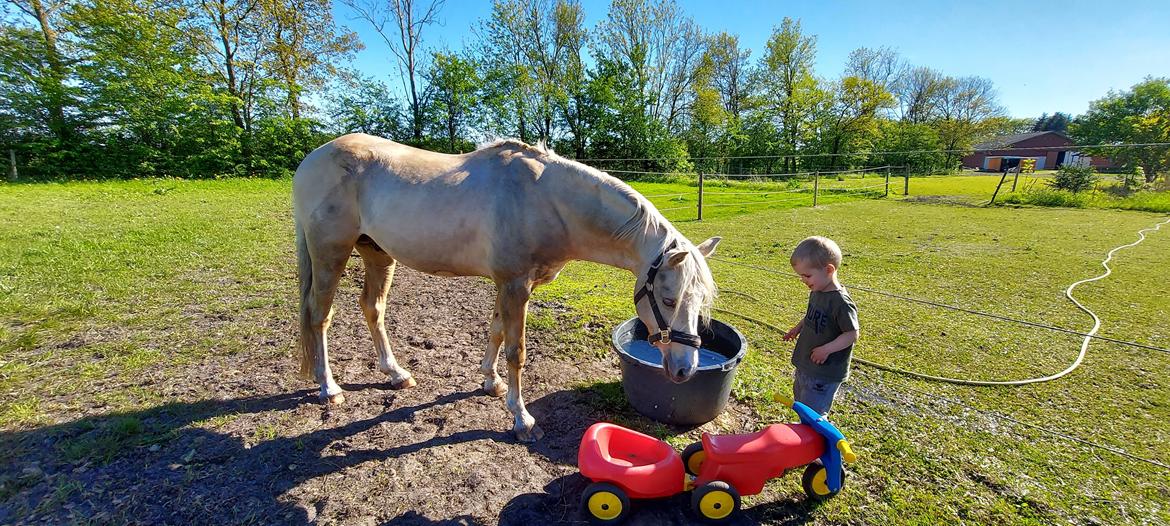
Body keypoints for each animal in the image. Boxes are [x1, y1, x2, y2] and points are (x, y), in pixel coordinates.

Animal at [292, 133, 716, 441]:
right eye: (668, 299)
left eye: (698, 303)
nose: (685, 369)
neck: (546, 200)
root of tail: (312, 159)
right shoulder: (515, 285)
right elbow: (517, 351)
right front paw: (522, 419)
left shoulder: (507, 285)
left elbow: (495, 332)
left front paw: (490, 382)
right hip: (330, 253)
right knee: (319, 316)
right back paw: (329, 388)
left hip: (377, 254)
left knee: (372, 309)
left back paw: (396, 373)